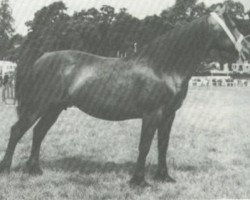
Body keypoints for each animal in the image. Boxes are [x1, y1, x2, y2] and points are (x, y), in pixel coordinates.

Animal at [0, 4, 249, 186]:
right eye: (233, 24)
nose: (246, 48)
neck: (163, 67)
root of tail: (41, 58)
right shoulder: (152, 114)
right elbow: (145, 146)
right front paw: (139, 182)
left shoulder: (169, 115)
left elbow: (163, 145)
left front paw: (164, 177)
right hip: (37, 107)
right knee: (17, 131)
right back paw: (6, 169)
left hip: (54, 109)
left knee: (38, 133)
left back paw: (35, 170)